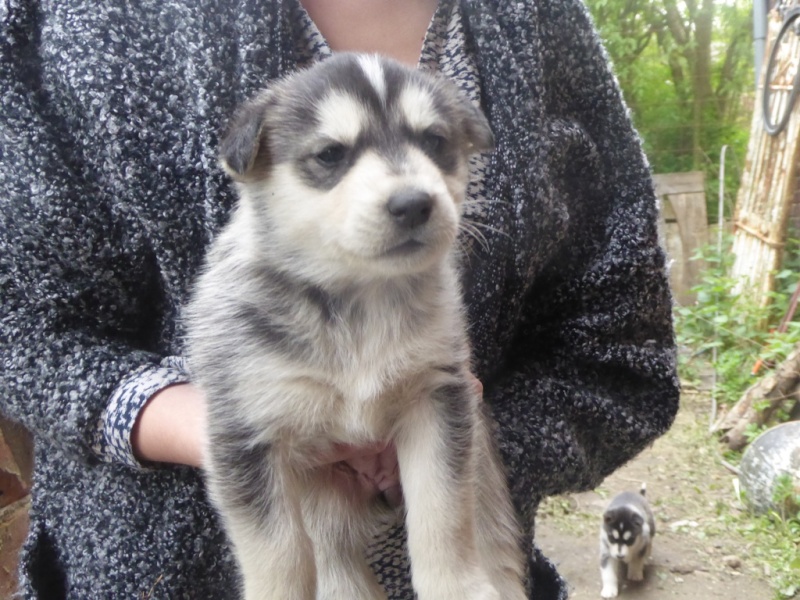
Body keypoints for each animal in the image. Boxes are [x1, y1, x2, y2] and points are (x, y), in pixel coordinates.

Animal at [184, 52, 528, 600]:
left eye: (434, 141)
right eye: (330, 154)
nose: (413, 203)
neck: (359, 299)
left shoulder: (439, 402)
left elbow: (444, 513)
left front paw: (456, 586)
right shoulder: (247, 436)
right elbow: (277, 552)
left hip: (481, 466)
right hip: (324, 497)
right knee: (333, 558)